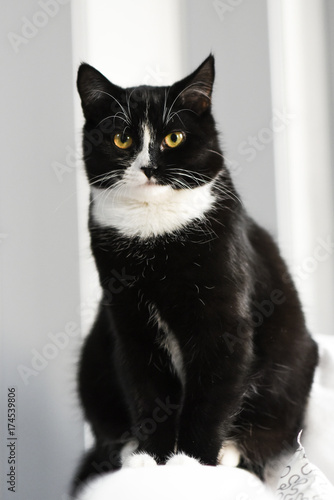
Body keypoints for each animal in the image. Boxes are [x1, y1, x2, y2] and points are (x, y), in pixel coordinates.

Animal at [72, 55, 318, 496]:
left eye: (173, 138)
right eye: (122, 140)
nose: (149, 167)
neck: (153, 232)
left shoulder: (223, 321)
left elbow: (212, 395)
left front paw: (190, 464)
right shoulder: (129, 321)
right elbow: (147, 392)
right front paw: (151, 460)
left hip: (296, 362)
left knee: (272, 433)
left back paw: (231, 451)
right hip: (94, 355)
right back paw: (129, 450)